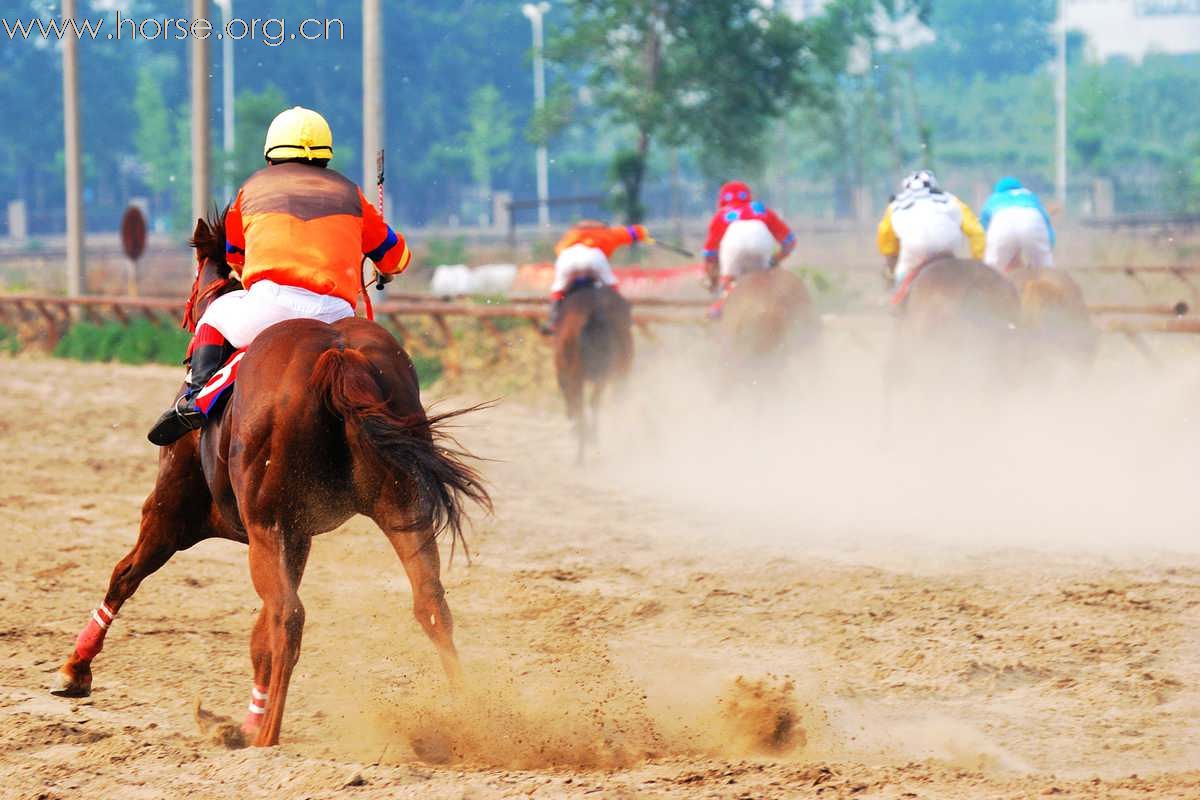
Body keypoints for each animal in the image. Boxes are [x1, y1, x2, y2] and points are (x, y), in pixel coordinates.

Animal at [52, 214, 487, 753]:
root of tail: (338, 356)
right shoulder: (295, 537)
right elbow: (259, 634)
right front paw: (241, 719)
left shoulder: (172, 515)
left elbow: (125, 575)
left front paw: (75, 670)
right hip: (400, 507)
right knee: (429, 603)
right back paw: (470, 716)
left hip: (267, 523)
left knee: (289, 617)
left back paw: (267, 736)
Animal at [552, 281, 633, 465]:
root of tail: (593, 313)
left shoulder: (566, 376)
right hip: (608, 374)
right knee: (597, 403)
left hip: (580, 376)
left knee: (584, 405)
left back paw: (582, 452)